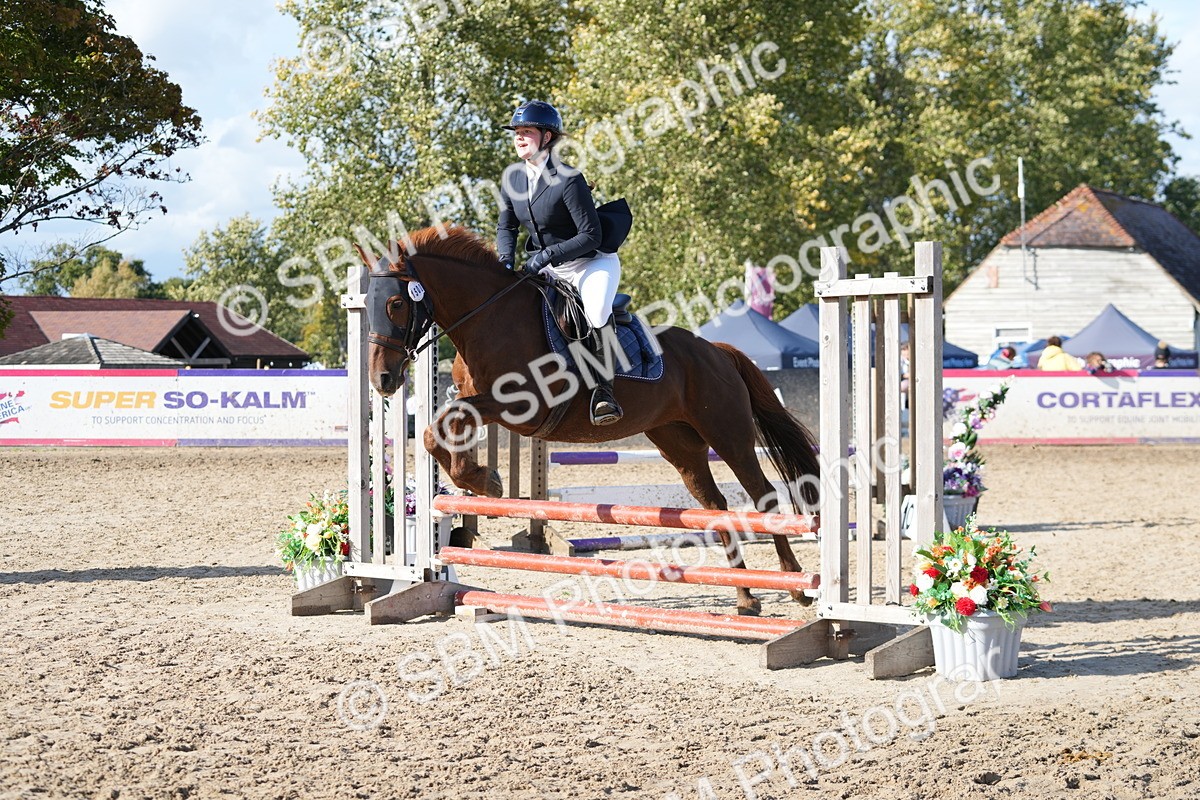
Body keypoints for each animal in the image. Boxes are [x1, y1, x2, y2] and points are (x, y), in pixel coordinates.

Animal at [356, 225, 821, 616]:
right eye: (367, 306)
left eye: (396, 304)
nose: (382, 380)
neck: (488, 318)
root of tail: (717, 350)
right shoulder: (475, 401)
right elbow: (437, 430)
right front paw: (479, 478)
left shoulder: (521, 408)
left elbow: (445, 423)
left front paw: (486, 481)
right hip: (679, 444)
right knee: (717, 506)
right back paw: (745, 596)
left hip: (729, 435)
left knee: (763, 498)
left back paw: (795, 585)